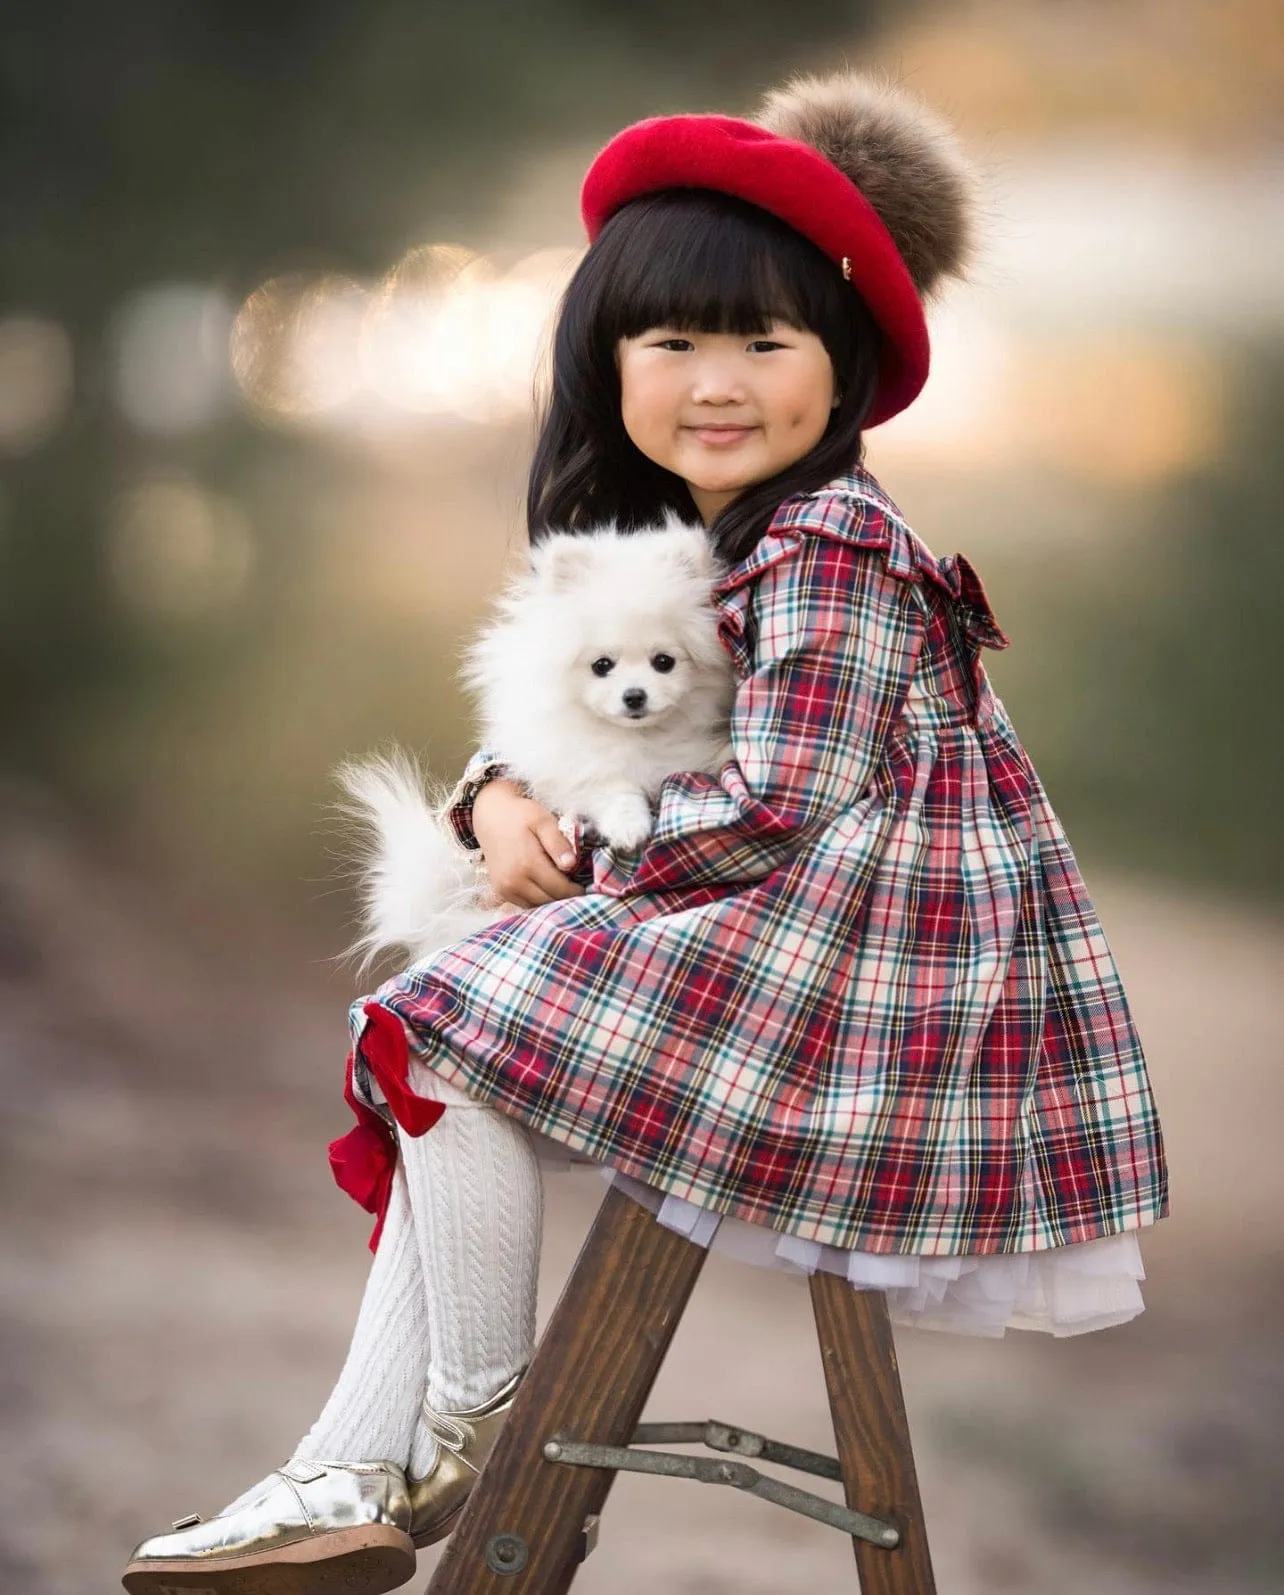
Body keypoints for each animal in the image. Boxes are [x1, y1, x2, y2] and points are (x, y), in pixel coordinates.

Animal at [334, 510, 736, 963]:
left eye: (664, 662)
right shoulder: (572, 768)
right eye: (602, 665)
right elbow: (607, 787)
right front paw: (628, 824)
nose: (634, 695)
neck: (639, 738)